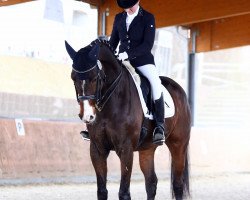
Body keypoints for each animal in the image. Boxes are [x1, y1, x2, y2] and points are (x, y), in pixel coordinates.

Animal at [65, 39, 191, 200]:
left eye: (94, 77)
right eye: (73, 77)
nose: (87, 116)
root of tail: (180, 89)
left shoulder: (126, 149)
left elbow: (124, 193)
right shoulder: (97, 149)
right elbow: (102, 191)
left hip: (178, 144)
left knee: (177, 184)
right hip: (147, 148)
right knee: (151, 183)